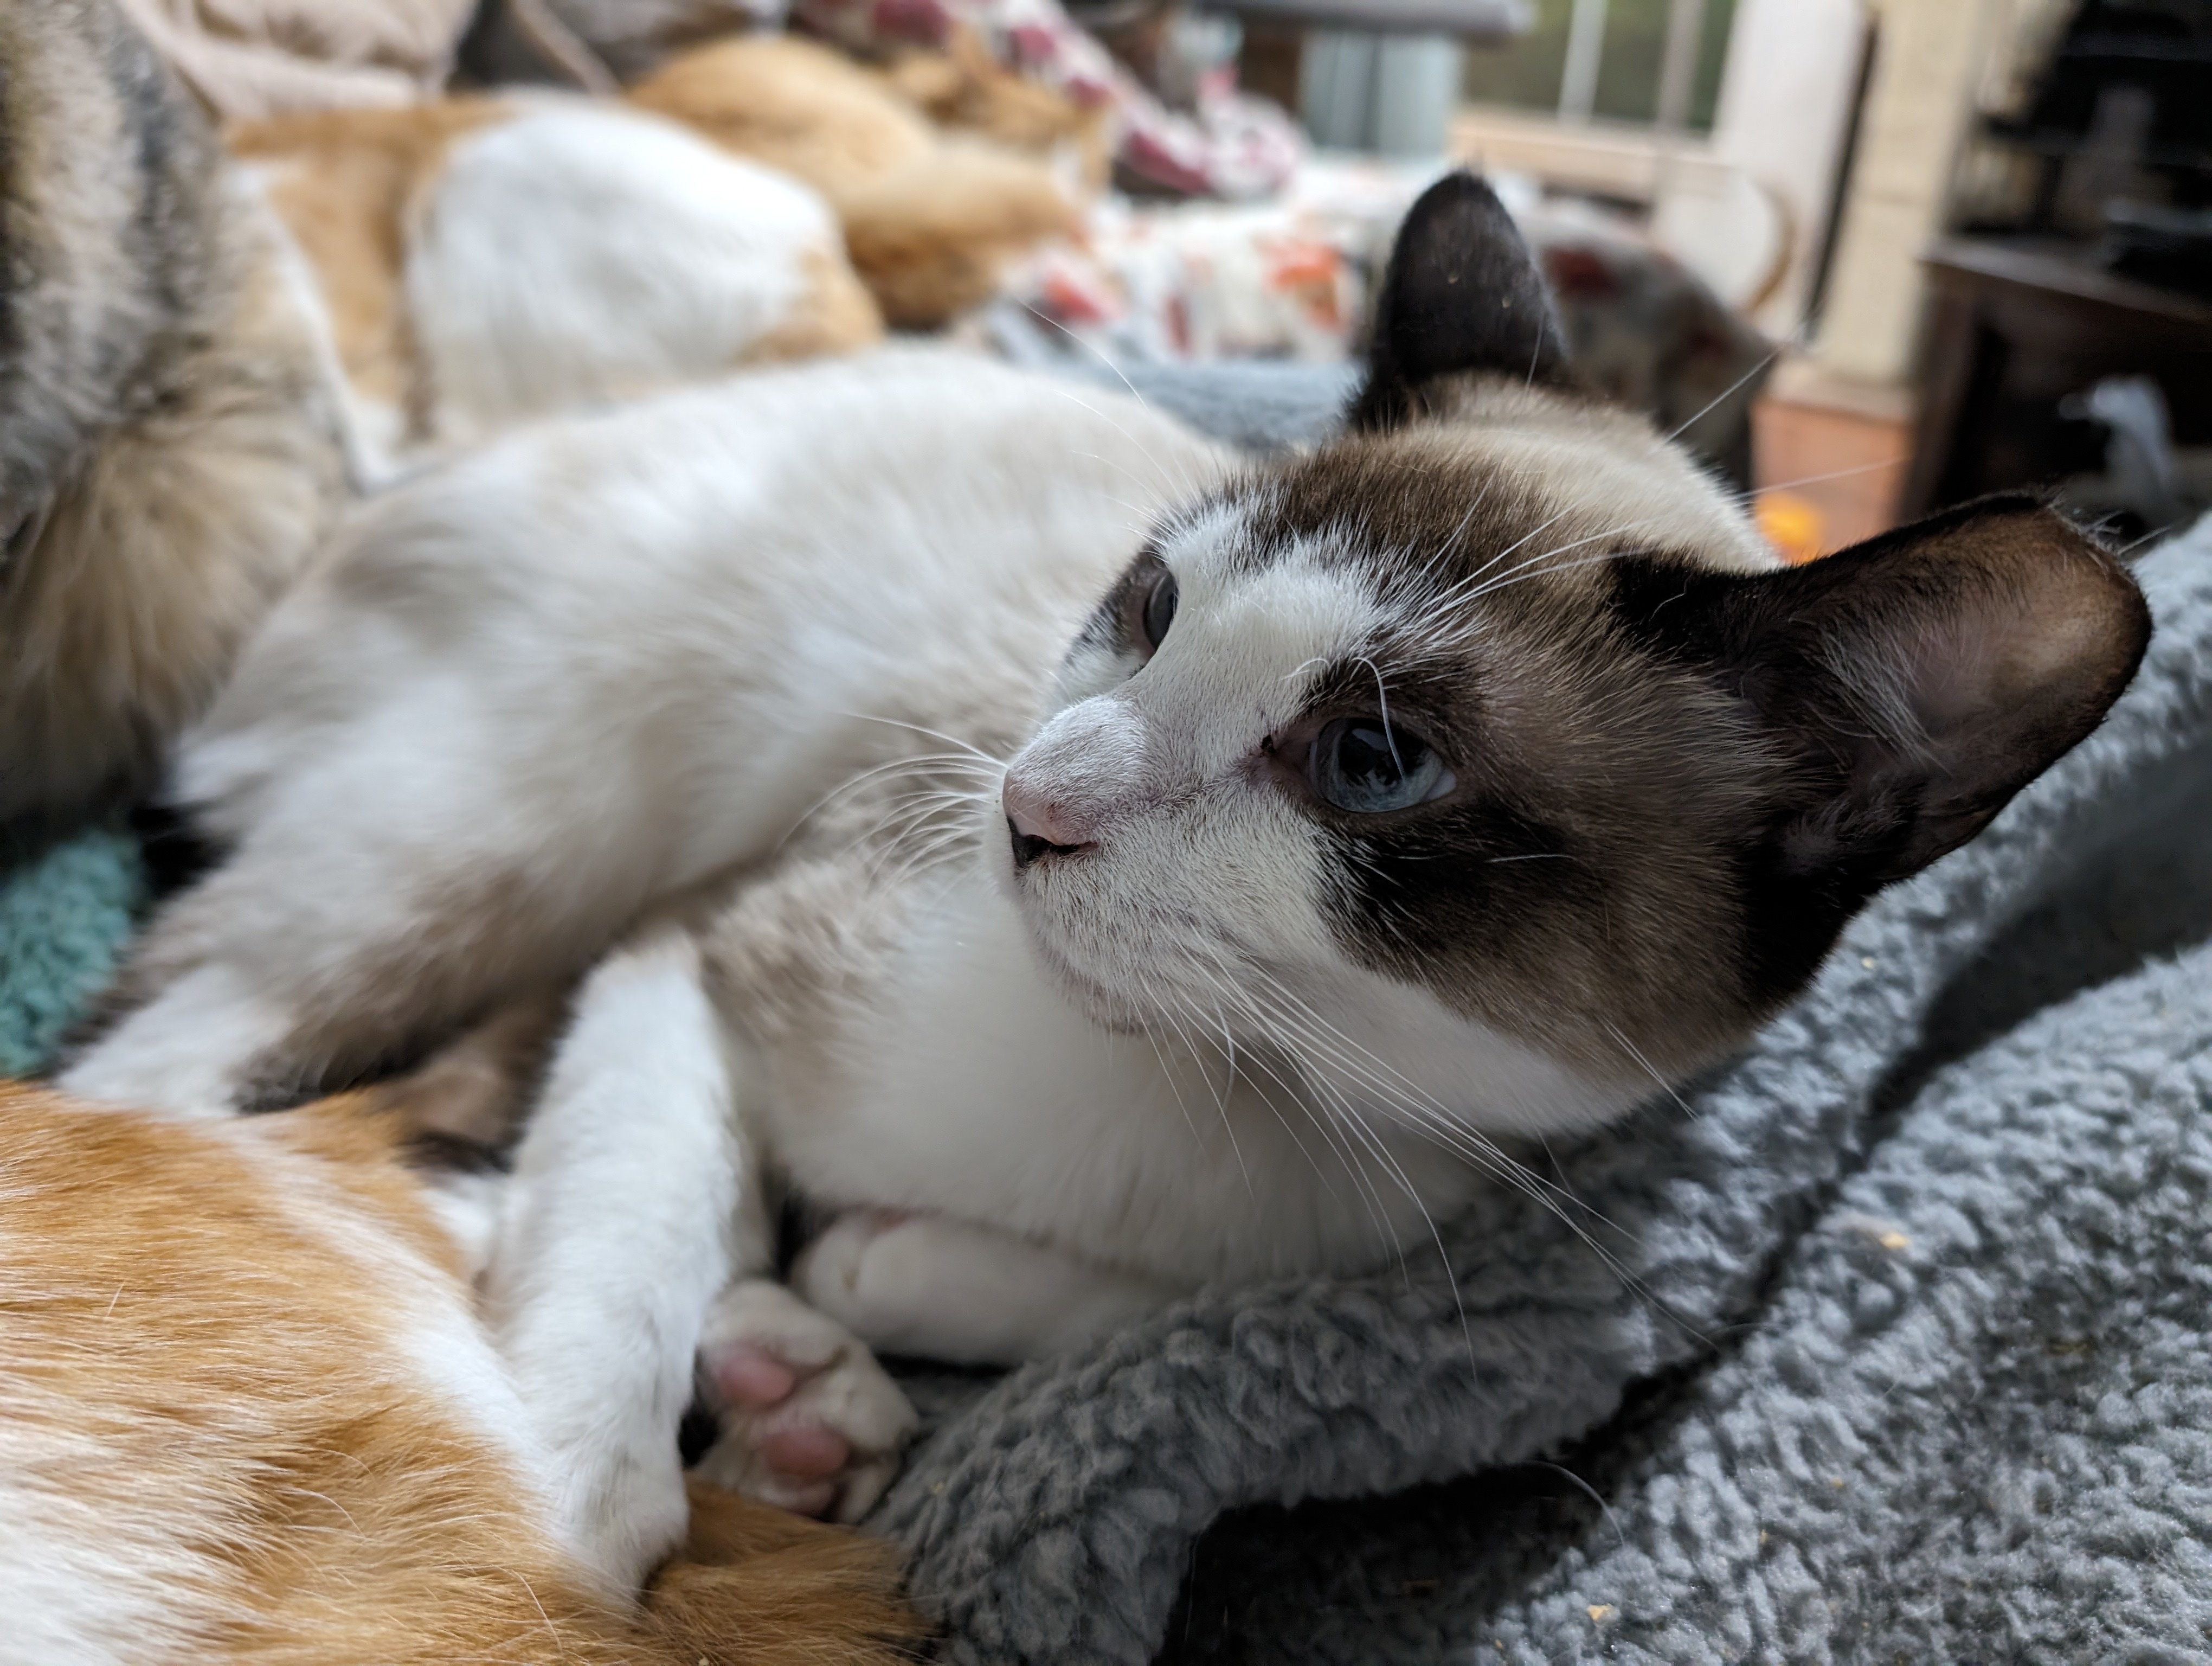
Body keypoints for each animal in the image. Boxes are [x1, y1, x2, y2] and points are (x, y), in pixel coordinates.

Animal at [60, 172, 2150, 1522]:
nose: (1028, 807)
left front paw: (849, 1301)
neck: (1231, 1083)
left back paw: (804, 1394)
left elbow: (1121, 1303)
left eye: (1371, 764)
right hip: (512, 849)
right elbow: (607, 1296)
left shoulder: (1390, 1225)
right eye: (1147, 609)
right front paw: (578, 1537)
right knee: (165, 1098)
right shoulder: (697, 956)